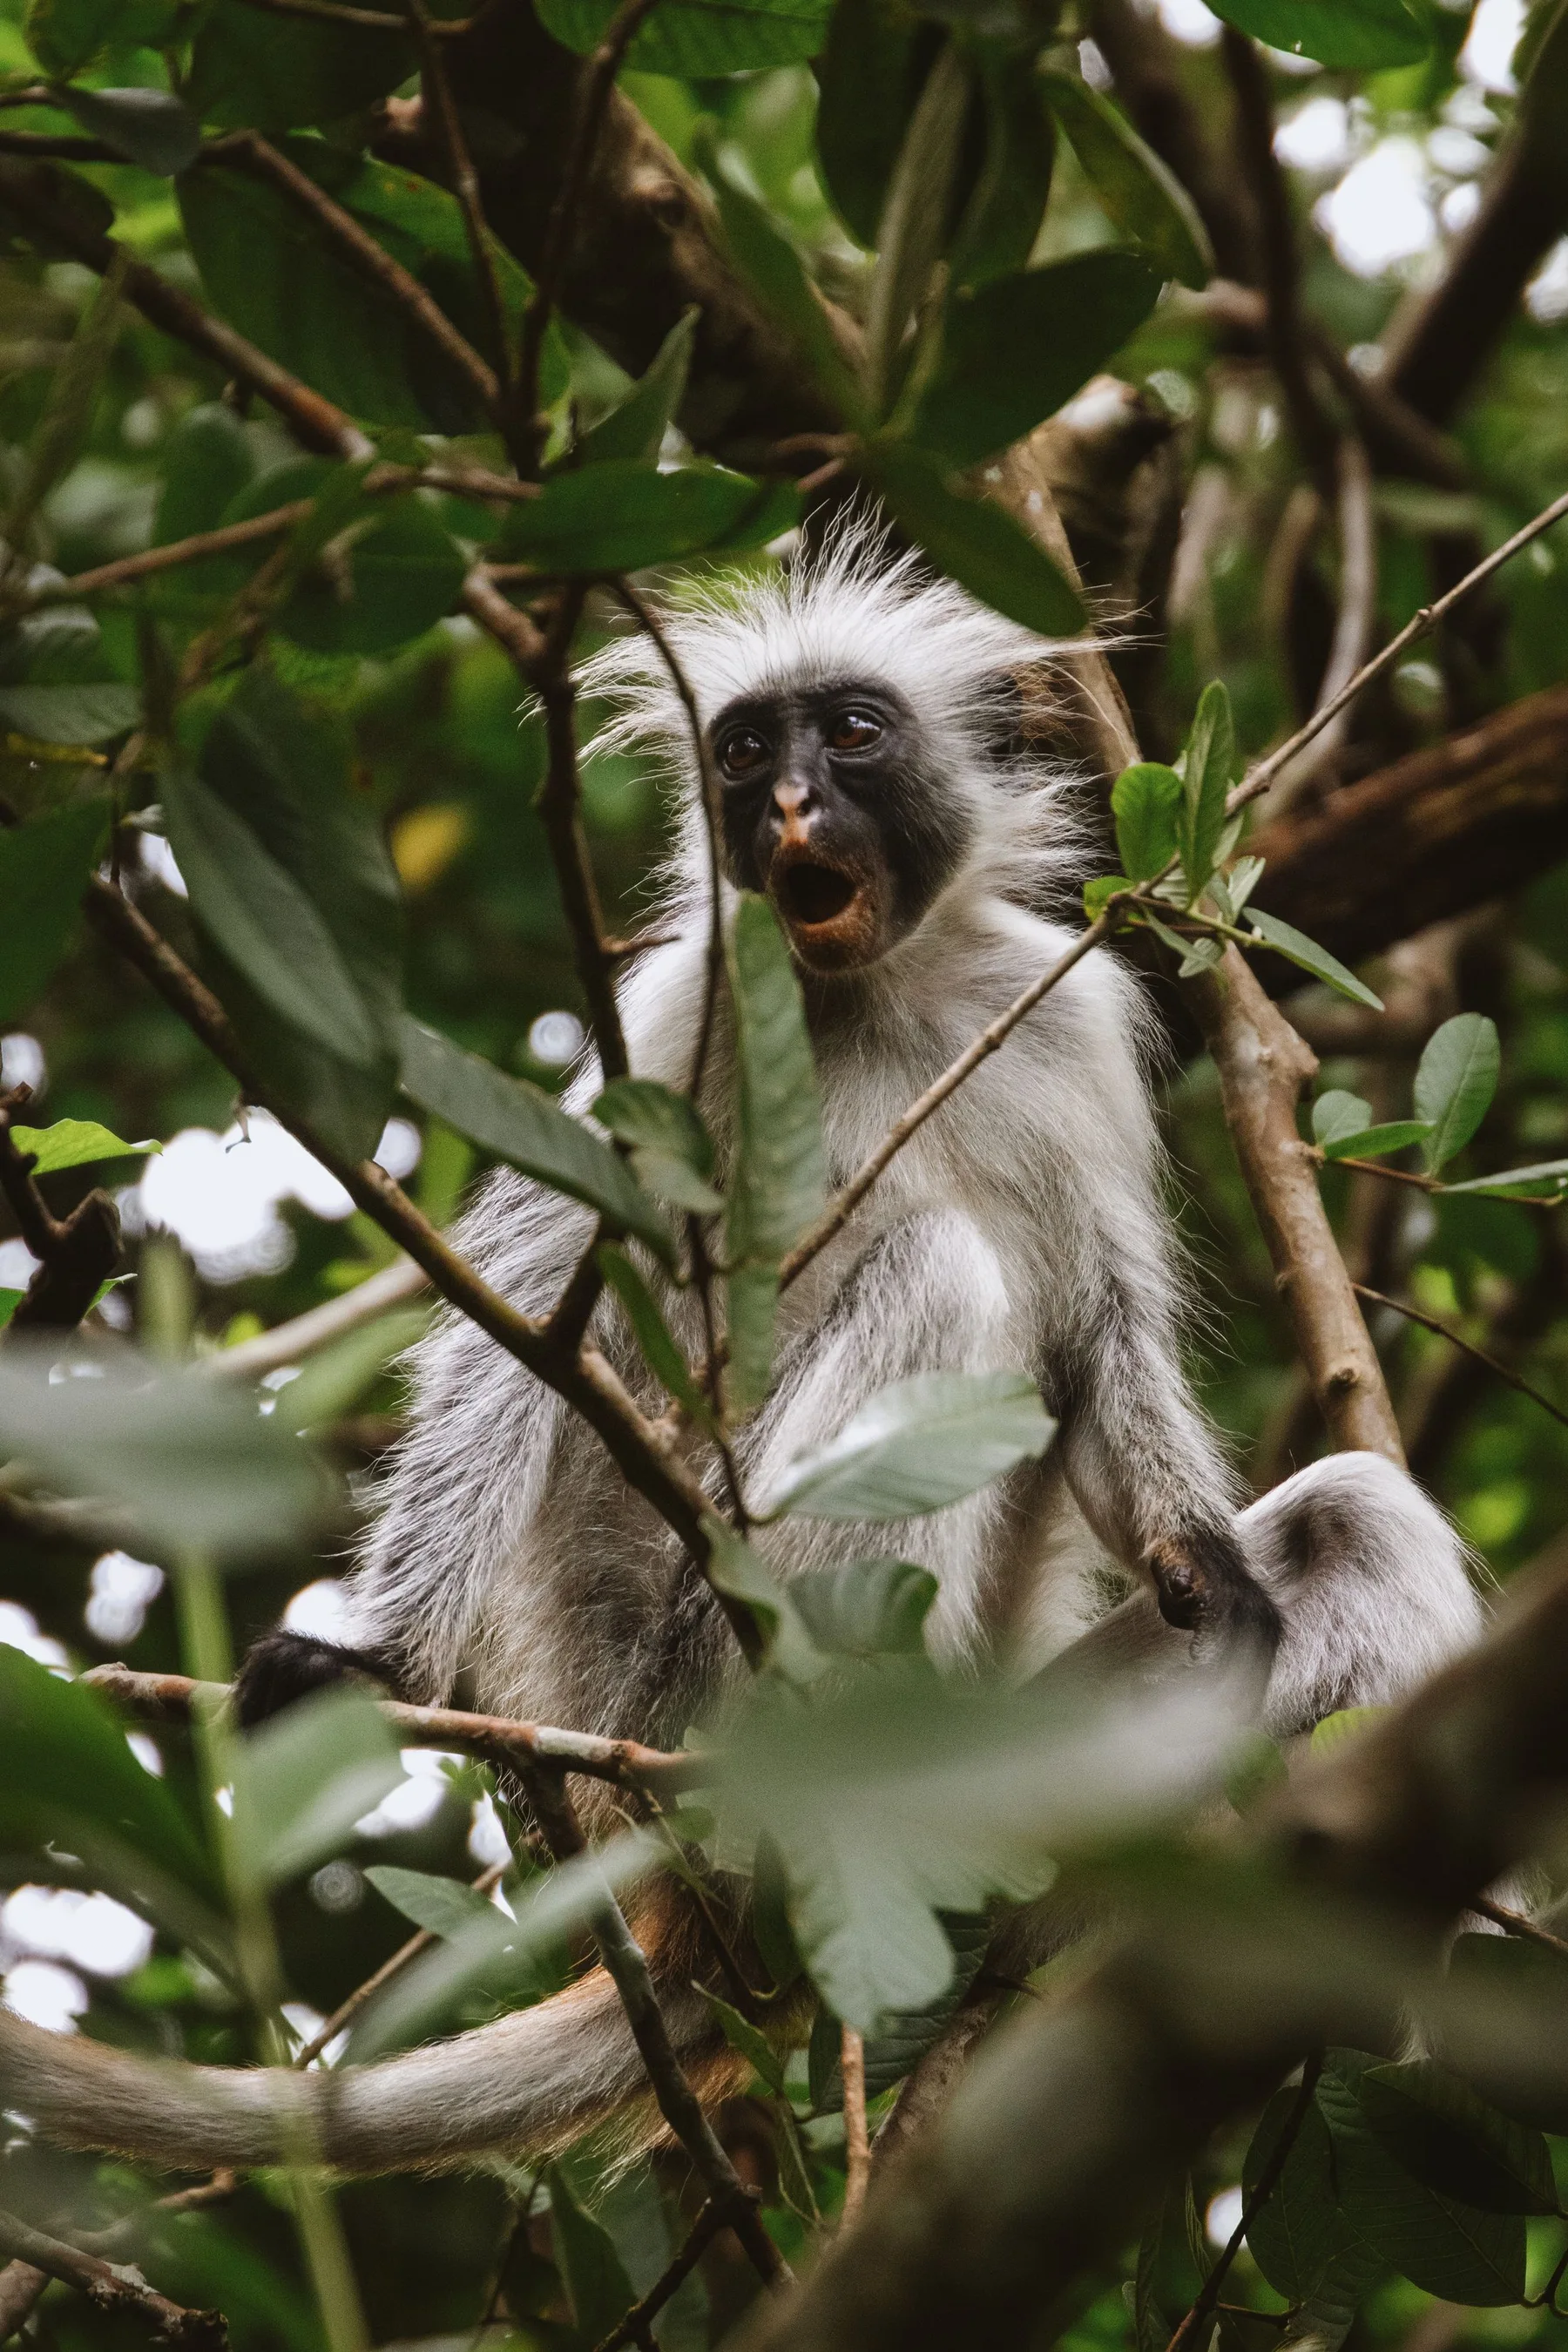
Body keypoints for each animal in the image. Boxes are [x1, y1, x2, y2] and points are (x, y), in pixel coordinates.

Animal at [0, 522, 1484, 2176]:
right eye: (744, 751)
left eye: (850, 732)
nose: (783, 808)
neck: (884, 994)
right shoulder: (676, 1009)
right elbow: (527, 1320)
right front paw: (369, 1658)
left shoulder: (1069, 1014)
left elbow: (1107, 1344)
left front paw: (1200, 1565)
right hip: (680, 1680)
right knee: (941, 1272)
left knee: (1355, 1514)